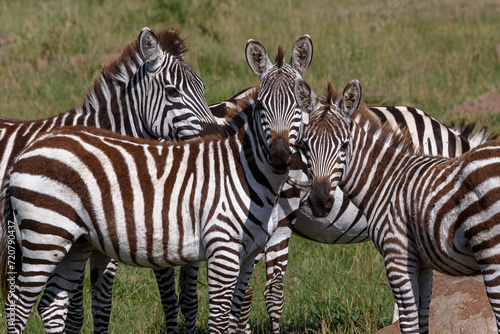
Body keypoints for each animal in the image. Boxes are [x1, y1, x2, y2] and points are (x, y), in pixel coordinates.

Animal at [0, 67, 308, 332]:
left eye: (300, 111)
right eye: (263, 109)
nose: (281, 157)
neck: (241, 168)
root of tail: (26, 152)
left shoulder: (249, 252)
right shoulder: (222, 247)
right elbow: (217, 316)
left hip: (73, 243)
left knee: (52, 305)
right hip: (45, 236)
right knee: (20, 306)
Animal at [294, 79, 500, 334]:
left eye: (344, 145)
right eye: (305, 146)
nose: (320, 202)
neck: (387, 179)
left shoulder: (397, 256)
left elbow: (409, 324)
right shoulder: (424, 265)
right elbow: (422, 321)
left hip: (491, 253)